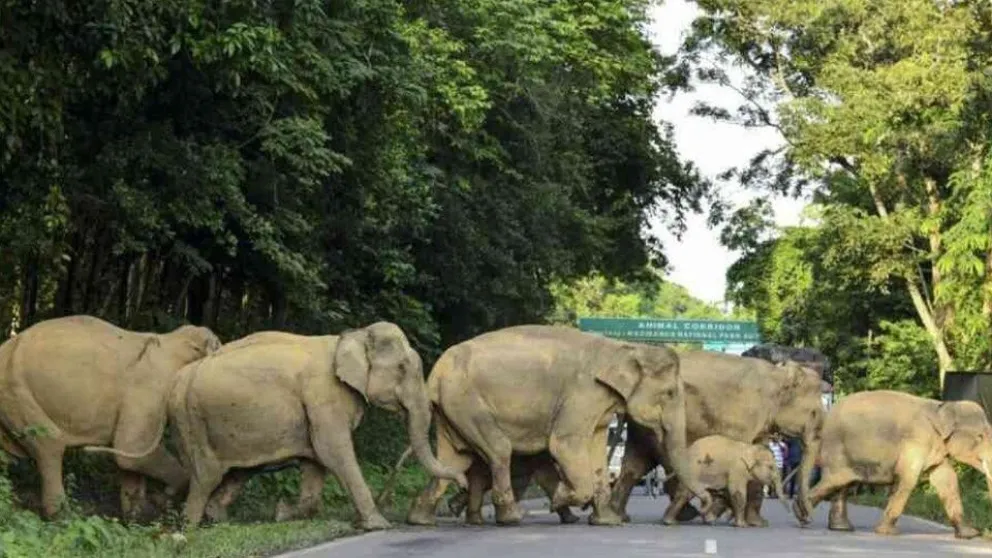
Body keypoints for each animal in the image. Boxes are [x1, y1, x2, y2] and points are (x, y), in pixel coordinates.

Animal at [0, 315, 221, 518]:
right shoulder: (150, 388)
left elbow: (129, 460)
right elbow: (131, 449)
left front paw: (137, 516)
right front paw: (166, 497)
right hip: (16, 390)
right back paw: (62, 517)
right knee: (49, 444)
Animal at [88, 322, 468, 530]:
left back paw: (214, 517)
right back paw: (191, 524)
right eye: (403, 368)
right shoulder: (323, 395)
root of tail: (180, 379)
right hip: (192, 419)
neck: (351, 335)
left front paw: (284, 513)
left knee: (234, 471)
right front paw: (377, 525)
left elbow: (316, 462)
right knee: (205, 475)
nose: (463, 483)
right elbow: (334, 452)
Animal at [404, 324, 711, 527]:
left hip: (452, 408)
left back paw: (420, 520)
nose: (706, 505)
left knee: (453, 460)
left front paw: (606, 522)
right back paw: (511, 518)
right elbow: (564, 444)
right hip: (465, 399)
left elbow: (596, 451)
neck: (621, 348)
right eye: (670, 393)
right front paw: (562, 498)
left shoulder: (598, 404)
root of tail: (436, 372)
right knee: (498, 449)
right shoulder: (582, 393)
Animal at [661, 435, 790, 527]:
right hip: (693, 471)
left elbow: (728, 493)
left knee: (684, 494)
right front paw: (742, 525)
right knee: (687, 493)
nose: (789, 510)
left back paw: (671, 522)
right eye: (771, 467)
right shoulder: (738, 470)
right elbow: (738, 493)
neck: (750, 449)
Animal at [800, 390, 992, 539]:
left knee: (844, 482)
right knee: (839, 478)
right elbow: (908, 479)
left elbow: (947, 479)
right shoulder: (915, 440)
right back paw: (802, 513)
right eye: (980, 436)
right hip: (837, 447)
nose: (984, 531)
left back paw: (840, 527)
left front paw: (969, 534)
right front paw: (887, 532)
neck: (942, 407)